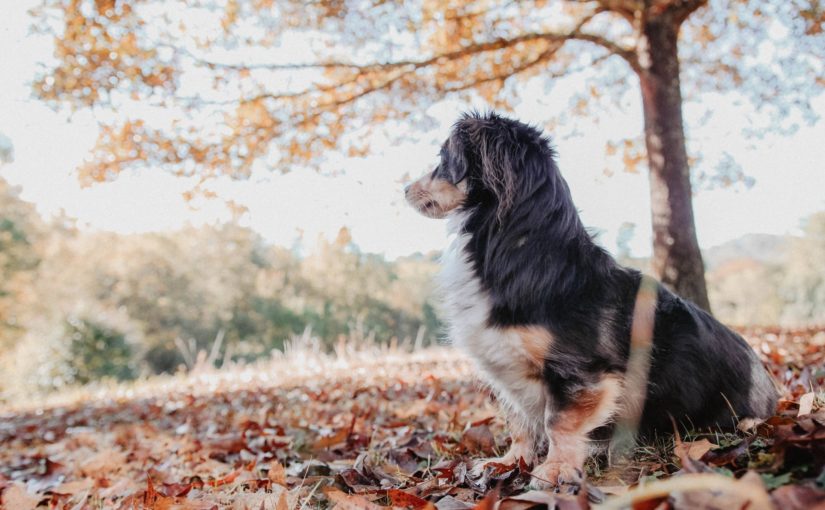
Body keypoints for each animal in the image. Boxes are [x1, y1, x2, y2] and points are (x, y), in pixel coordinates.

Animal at [406, 112, 780, 490]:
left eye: (443, 160)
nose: (405, 190)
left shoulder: (579, 372)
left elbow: (558, 422)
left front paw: (555, 470)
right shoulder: (508, 373)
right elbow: (520, 424)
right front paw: (509, 462)